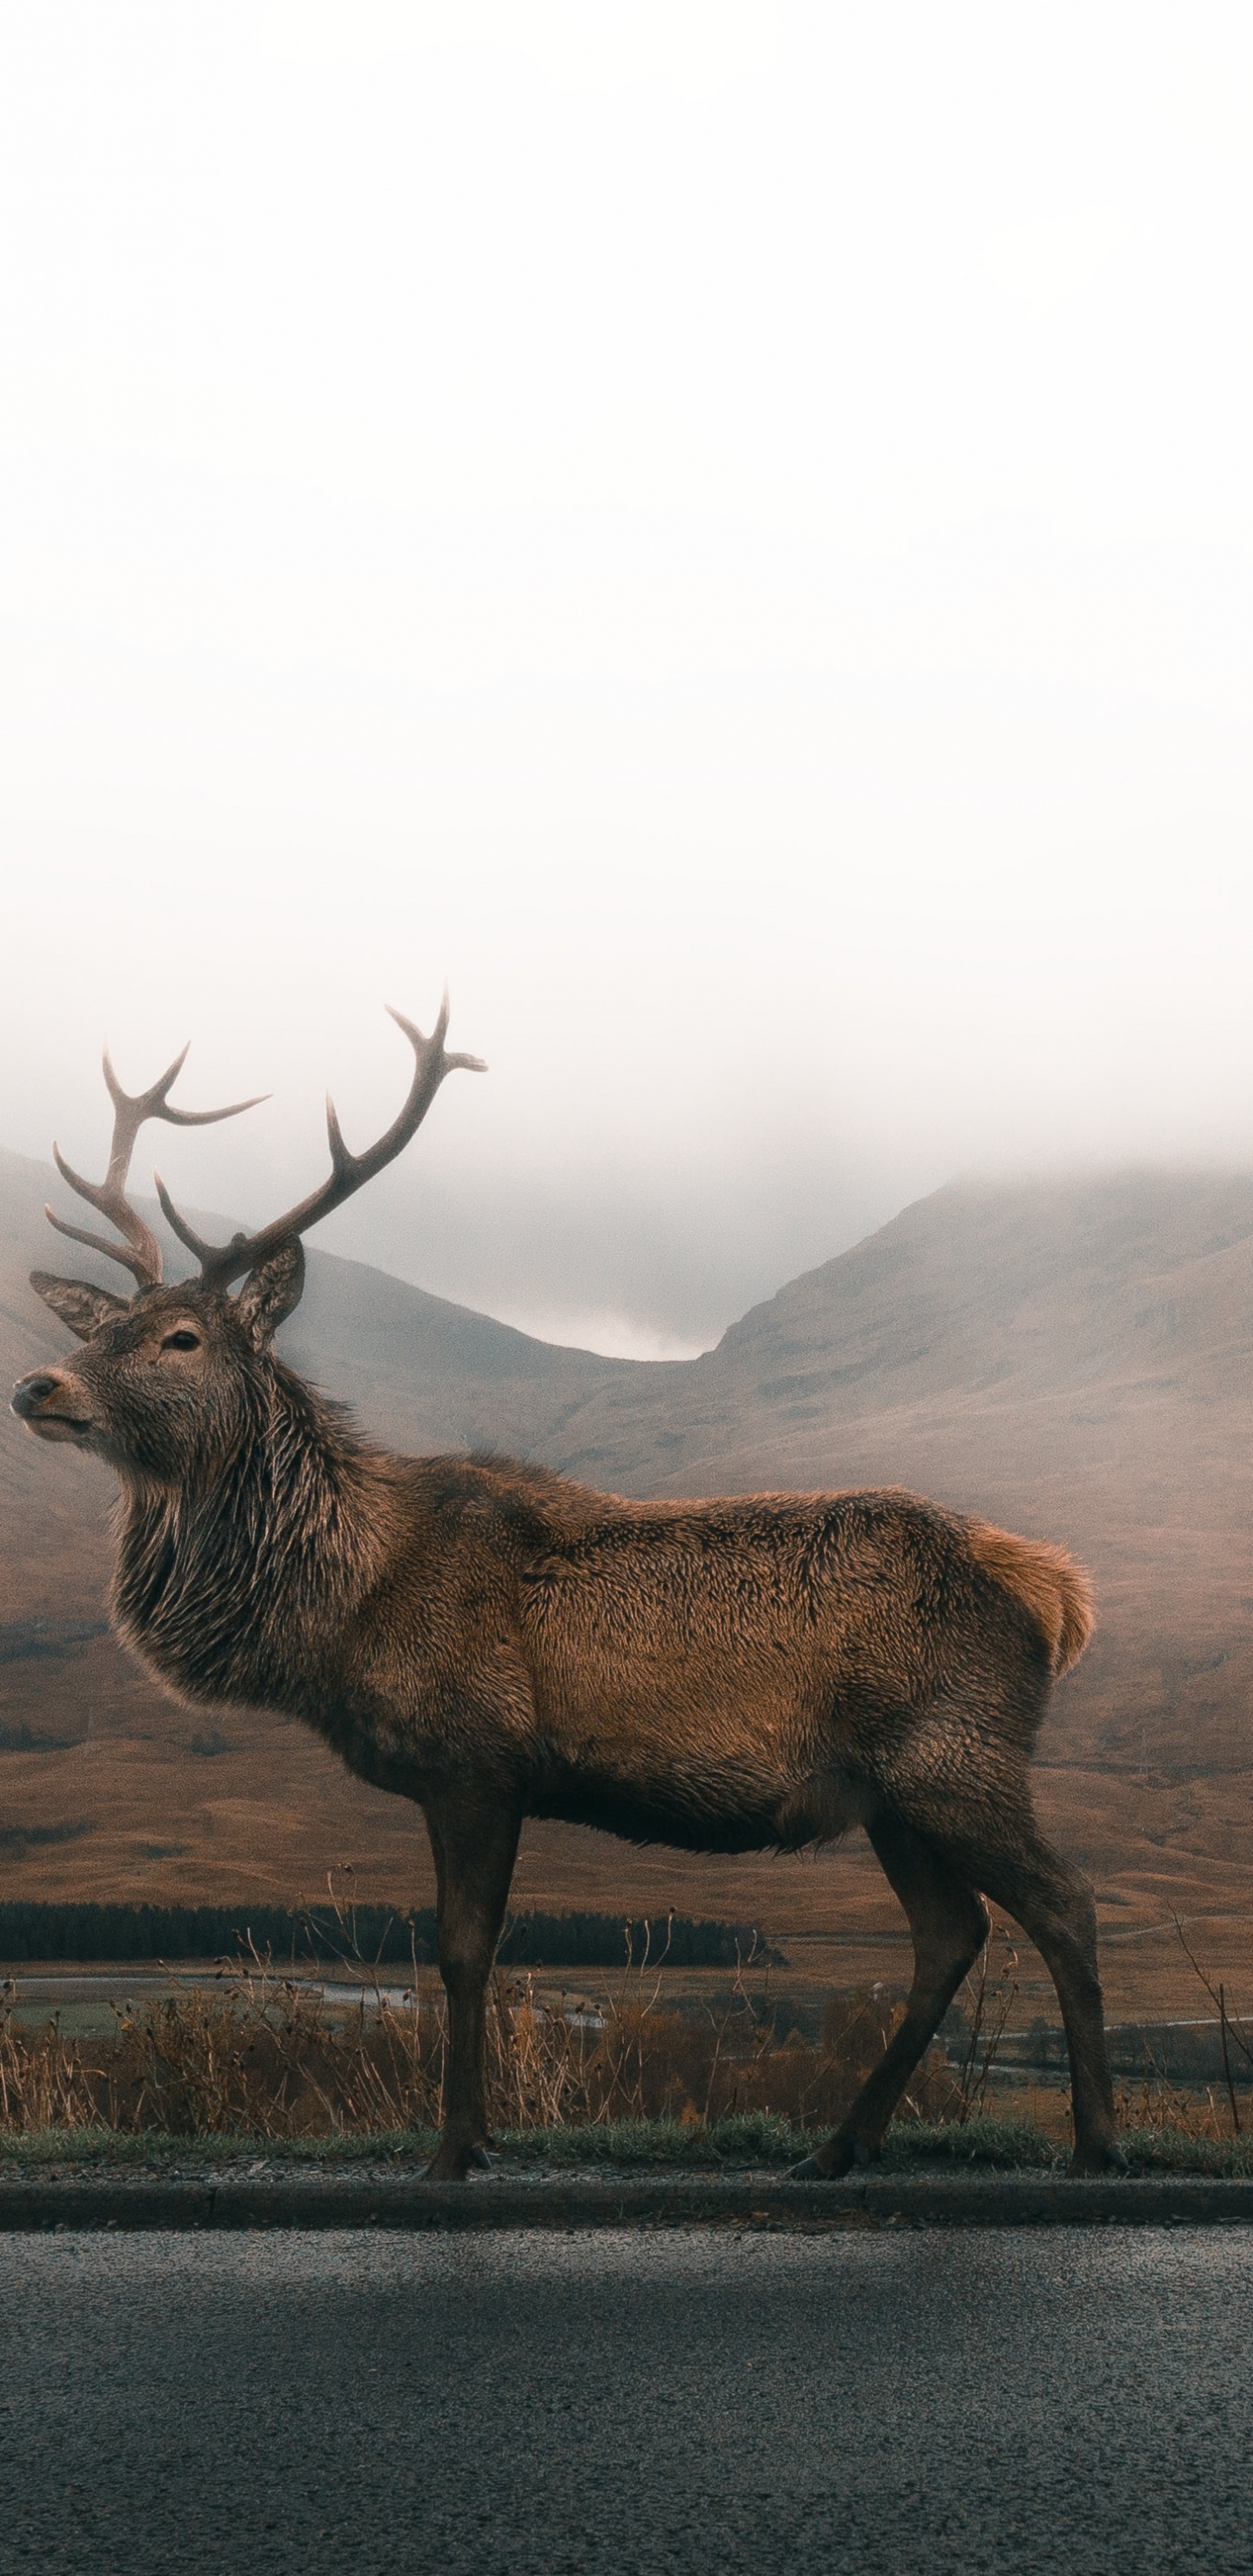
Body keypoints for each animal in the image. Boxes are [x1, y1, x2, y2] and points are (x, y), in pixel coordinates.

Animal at [11, 1006, 1124, 2179]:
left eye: (182, 1336)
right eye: (95, 1329)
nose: (39, 1384)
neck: (339, 1611)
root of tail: (1056, 1593)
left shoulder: (479, 1758)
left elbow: (462, 1954)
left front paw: (454, 2146)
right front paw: (476, 2131)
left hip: (957, 1755)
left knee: (1065, 1900)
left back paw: (1094, 2140)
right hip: (888, 1792)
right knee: (952, 1932)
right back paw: (836, 2146)